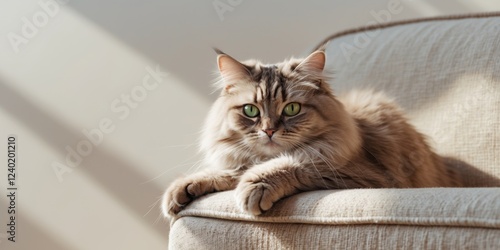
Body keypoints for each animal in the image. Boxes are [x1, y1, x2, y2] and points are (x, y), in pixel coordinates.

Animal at [161, 48, 460, 217]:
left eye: (292, 108)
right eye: (250, 111)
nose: (269, 130)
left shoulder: (361, 175)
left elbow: (295, 162)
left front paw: (255, 186)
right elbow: (233, 169)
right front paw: (184, 188)